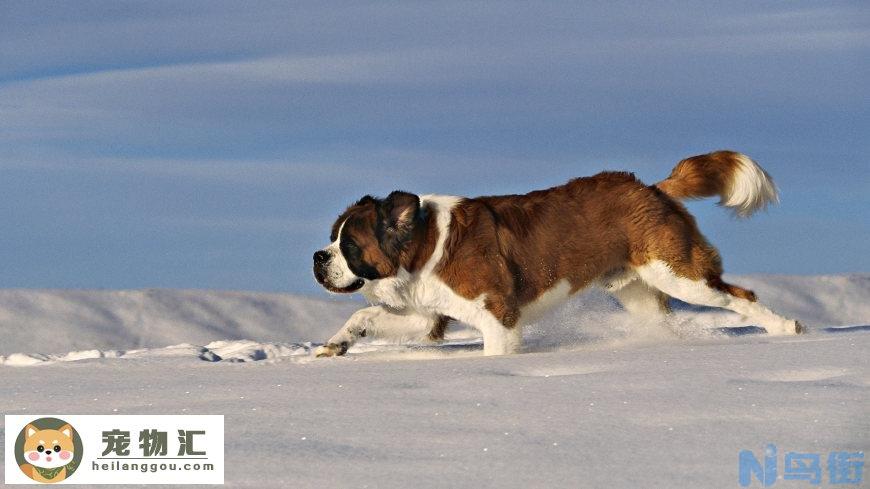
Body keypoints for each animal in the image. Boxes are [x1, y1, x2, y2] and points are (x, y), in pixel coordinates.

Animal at [312, 151, 804, 356]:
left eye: (348, 245)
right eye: (332, 239)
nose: (319, 256)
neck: (424, 245)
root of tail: (650, 187)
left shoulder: (499, 316)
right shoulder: (429, 315)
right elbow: (365, 316)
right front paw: (338, 343)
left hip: (680, 273)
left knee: (740, 296)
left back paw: (786, 328)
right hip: (639, 292)